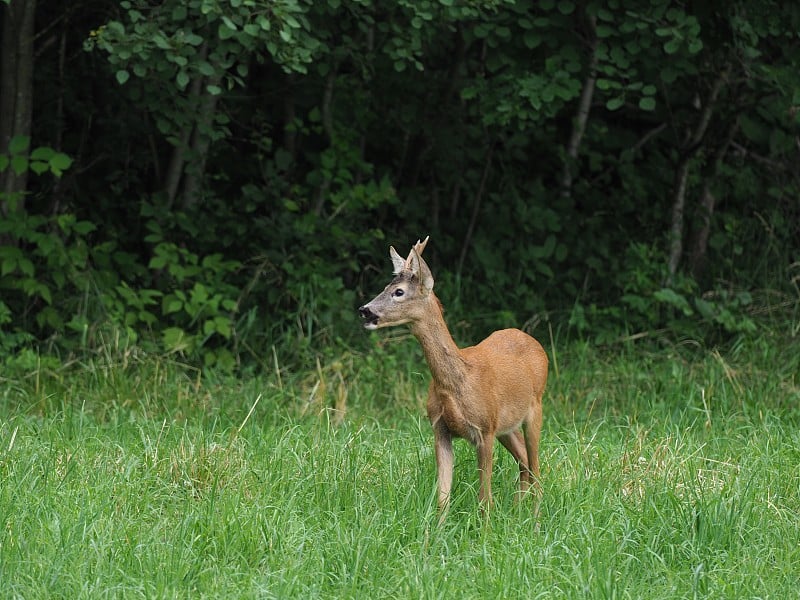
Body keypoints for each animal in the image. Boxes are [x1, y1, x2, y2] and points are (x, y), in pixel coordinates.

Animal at [360, 237, 548, 512]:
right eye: (385, 286)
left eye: (399, 292)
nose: (364, 310)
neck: (457, 382)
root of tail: (535, 343)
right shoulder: (440, 428)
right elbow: (442, 496)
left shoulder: (484, 429)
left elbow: (484, 497)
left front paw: (486, 523)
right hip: (507, 425)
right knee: (524, 460)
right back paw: (517, 509)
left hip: (534, 408)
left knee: (536, 465)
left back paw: (534, 516)